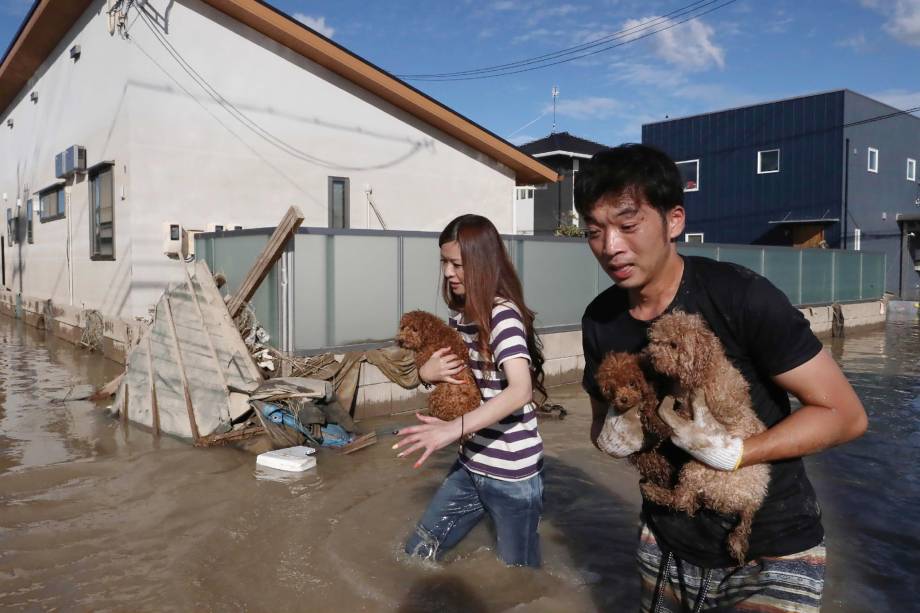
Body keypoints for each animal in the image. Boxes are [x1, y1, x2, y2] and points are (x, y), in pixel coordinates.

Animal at [596, 350, 676, 488]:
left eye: (632, 383)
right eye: (613, 388)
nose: (623, 399)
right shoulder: (643, 411)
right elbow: (651, 416)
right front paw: (664, 428)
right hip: (638, 455)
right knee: (650, 463)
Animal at [640, 310, 768, 564]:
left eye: (674, 345)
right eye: (655, 340)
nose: (651, 358)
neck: (707, 367)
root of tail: (749, 503)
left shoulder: (692, 407)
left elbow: (670, 414)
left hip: (698, 469)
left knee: (681, 501)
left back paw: (653, 491)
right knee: (688, 505)